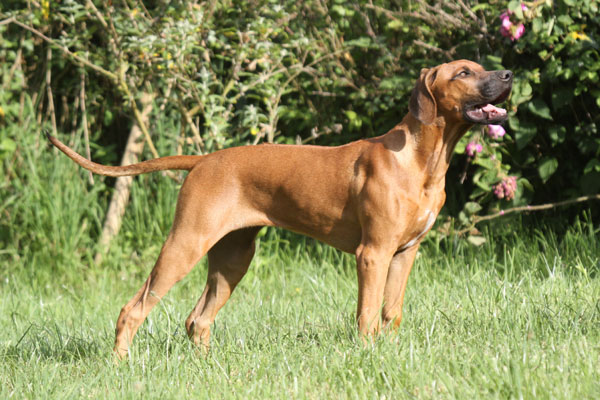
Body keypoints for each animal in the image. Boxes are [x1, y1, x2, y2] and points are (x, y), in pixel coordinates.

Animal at [47, 60, 512, 358]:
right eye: (463, 73)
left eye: (480, 66)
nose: (508, 74)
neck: (420, 159)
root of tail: (204, 160)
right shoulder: (373, 254)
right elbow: (366, 315)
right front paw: (368, 356)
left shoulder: (404, 253)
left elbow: (390, 314)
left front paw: (392, 354)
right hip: (185, 243)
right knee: (134, 309)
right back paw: (121, 364)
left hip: (233, 258)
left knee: (197, 319)